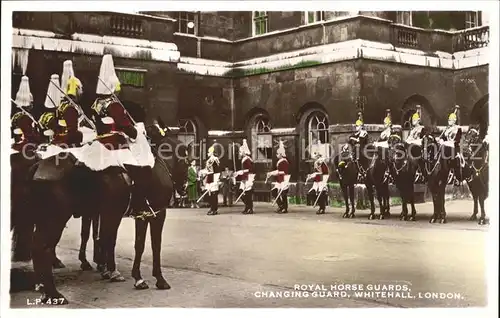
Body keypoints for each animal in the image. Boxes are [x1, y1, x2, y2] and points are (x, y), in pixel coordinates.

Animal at [24, 123, 188, 304]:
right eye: (187, 157)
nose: (184, 188)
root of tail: (38, 165)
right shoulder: (157, 213)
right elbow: (154, 245)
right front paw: (158, 279)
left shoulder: (138, 215)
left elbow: (134, 244)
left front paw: (133, 276)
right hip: (55, 220)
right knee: (43, 247)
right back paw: (53, 293)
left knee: (38, 247)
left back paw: (43, 287)